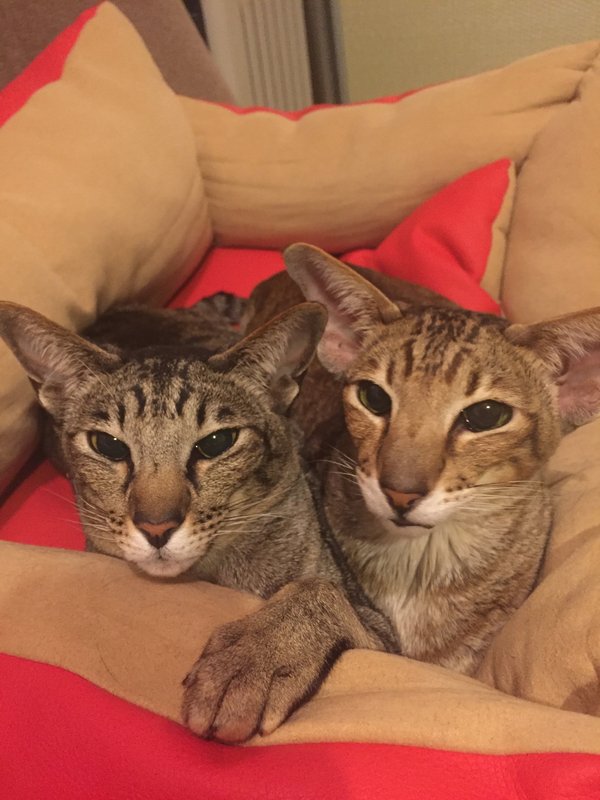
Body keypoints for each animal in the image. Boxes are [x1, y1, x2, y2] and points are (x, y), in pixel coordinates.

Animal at [180, 243, 600, 743]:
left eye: (487, 415)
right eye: (374, 398)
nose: (400, 492)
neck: (419, 561)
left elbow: (321, 594)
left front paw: (257, 654)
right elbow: (321, 588)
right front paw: (257, 651)